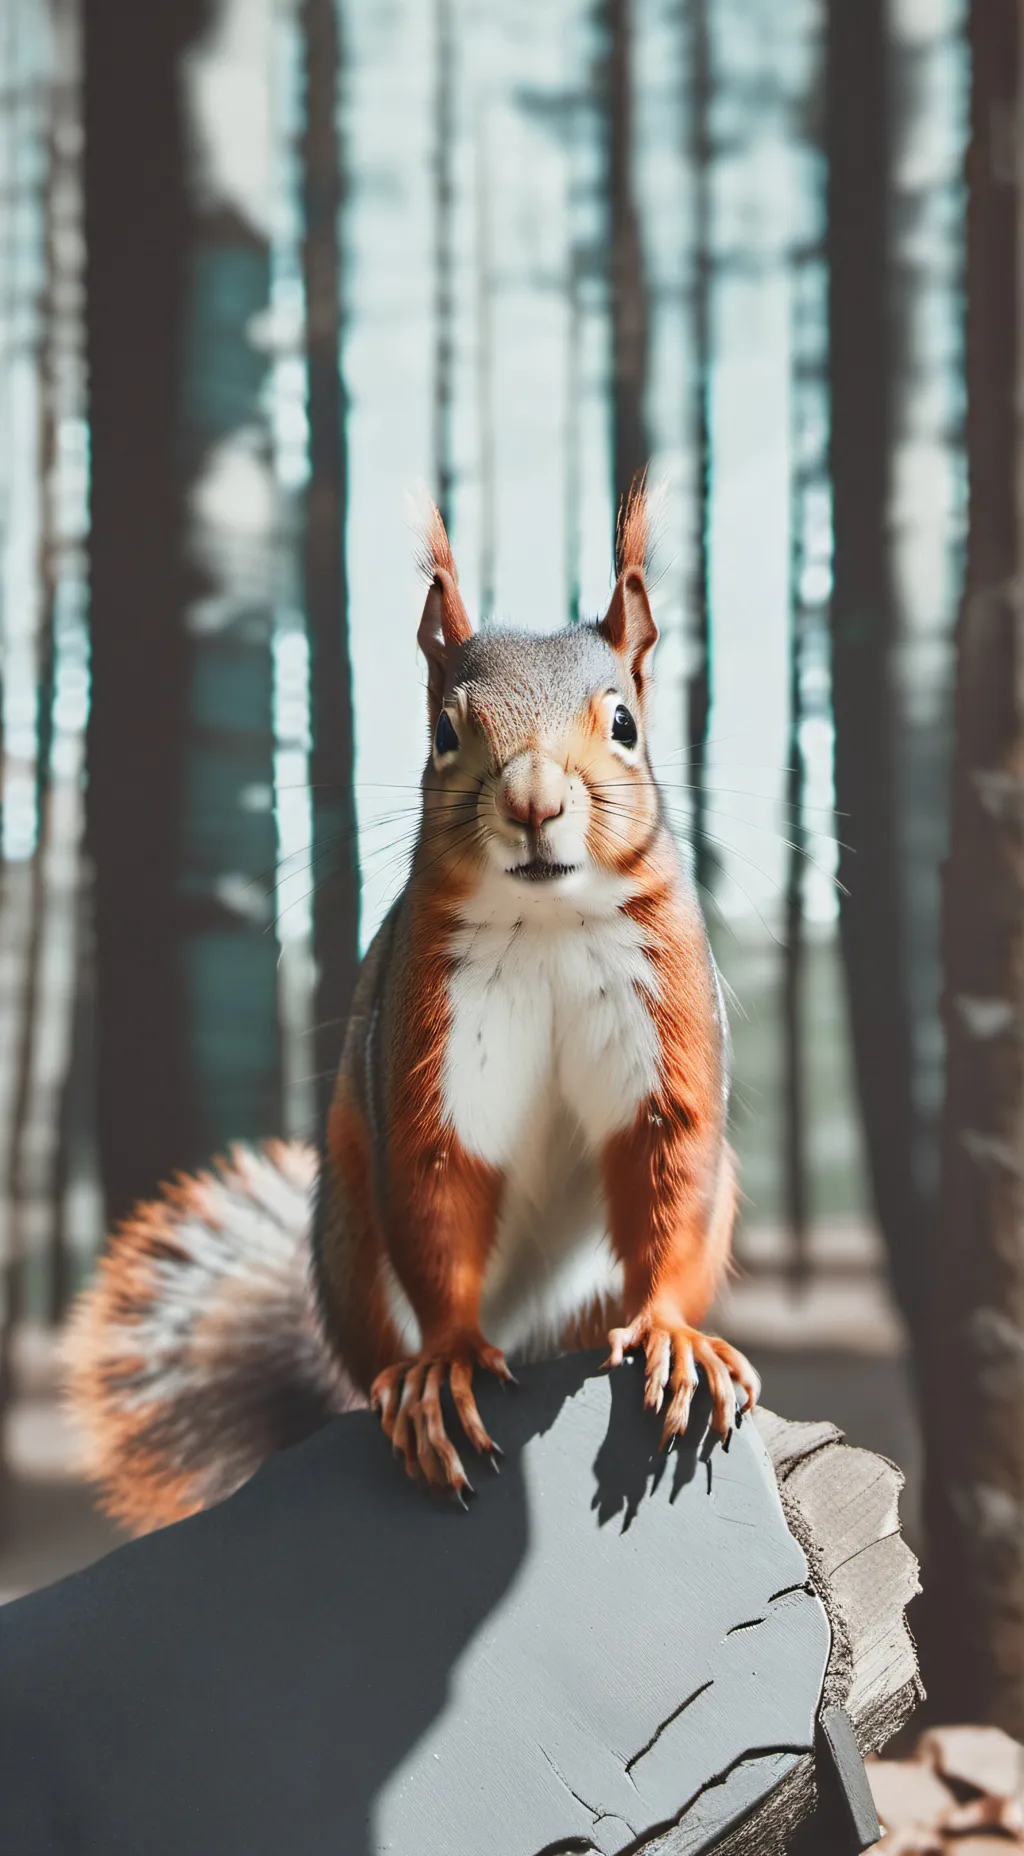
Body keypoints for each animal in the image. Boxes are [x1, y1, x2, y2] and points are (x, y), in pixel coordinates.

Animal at [64, 481, 759, 1533]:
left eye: (626, 724)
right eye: (443, 732)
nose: (533, 801)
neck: (547, 920)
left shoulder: (667, 1019)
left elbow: (669, 1172)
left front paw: (676, 1336)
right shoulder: (427, 1042)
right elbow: (438, 1192)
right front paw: (446, 1363)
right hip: (351, 1235)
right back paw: (408, 1377)